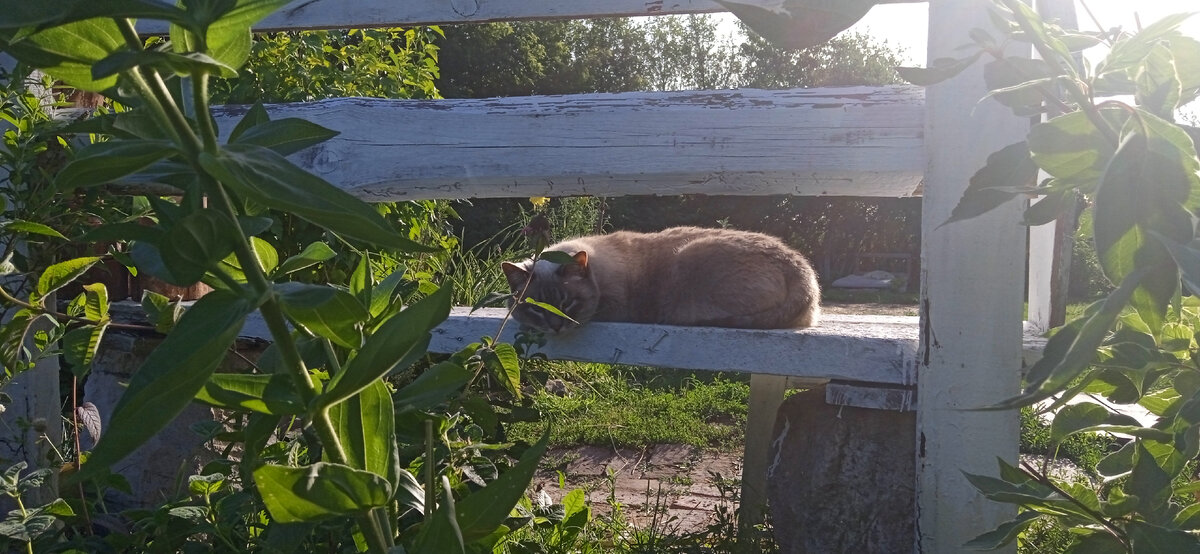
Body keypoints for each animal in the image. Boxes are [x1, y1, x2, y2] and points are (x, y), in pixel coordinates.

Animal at [501, 226, 820, 333]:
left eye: (567, 303)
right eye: (535, 308)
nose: (555, 327)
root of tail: (800, 266)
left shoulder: (616, 309)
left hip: (689, 258)